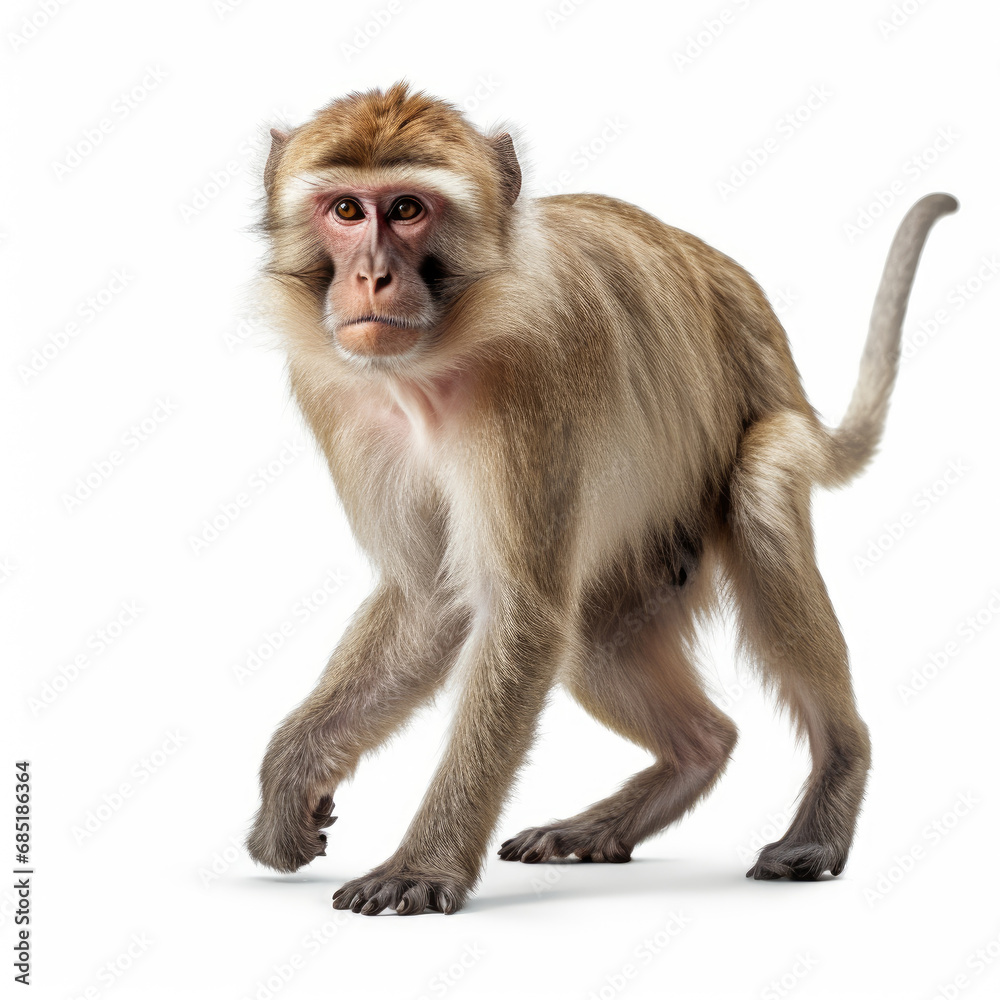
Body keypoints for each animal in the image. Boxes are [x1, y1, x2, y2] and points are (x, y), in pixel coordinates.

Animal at [244, 82, 957, 916]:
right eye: (348, 210)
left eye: (409, 209)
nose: (371, 278)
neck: (433, 366)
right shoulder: (337, 396)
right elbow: (430, 597)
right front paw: (290, 786)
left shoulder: (534, 381)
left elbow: (522, 615)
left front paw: (425, 863)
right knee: (604, 639)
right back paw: (666, 776)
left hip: (762, 440)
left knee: (761, 485)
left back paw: (833, 788)